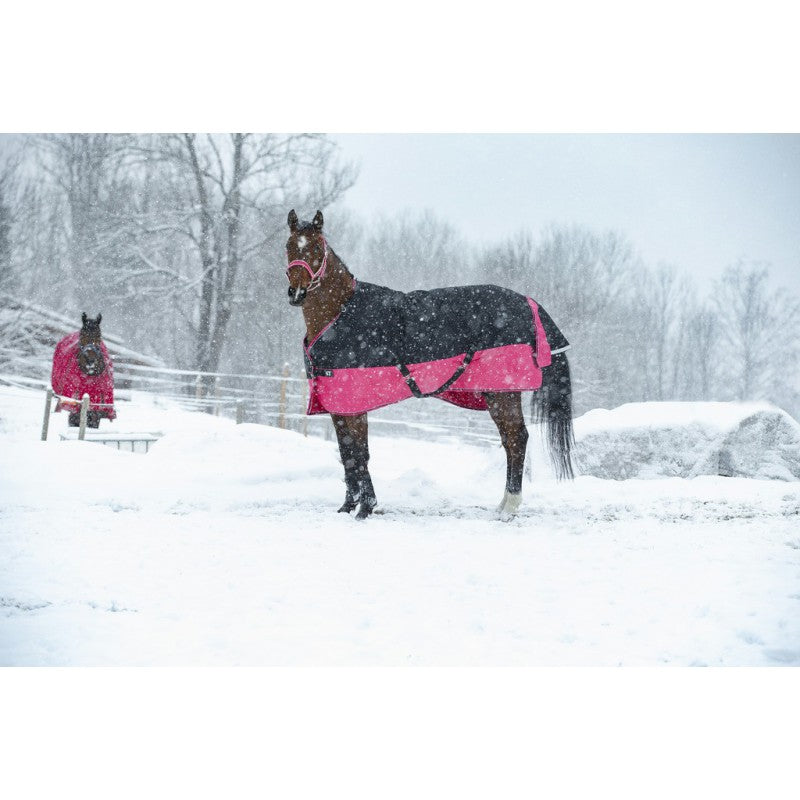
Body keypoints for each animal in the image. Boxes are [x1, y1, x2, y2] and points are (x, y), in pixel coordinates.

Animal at [285, 209, 574, 520]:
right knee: (511, 440)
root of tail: (527, 301)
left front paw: (365, 508)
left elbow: (361, 454)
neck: (339, 315)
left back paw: (509, 508)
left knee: (517, 438)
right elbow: (347, 454)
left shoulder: (354, 402)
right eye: (289, 246)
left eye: (317, 248)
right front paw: (347, 507)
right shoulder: (338, 404)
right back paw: (503, 505)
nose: (297, 293)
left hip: (503, 393)